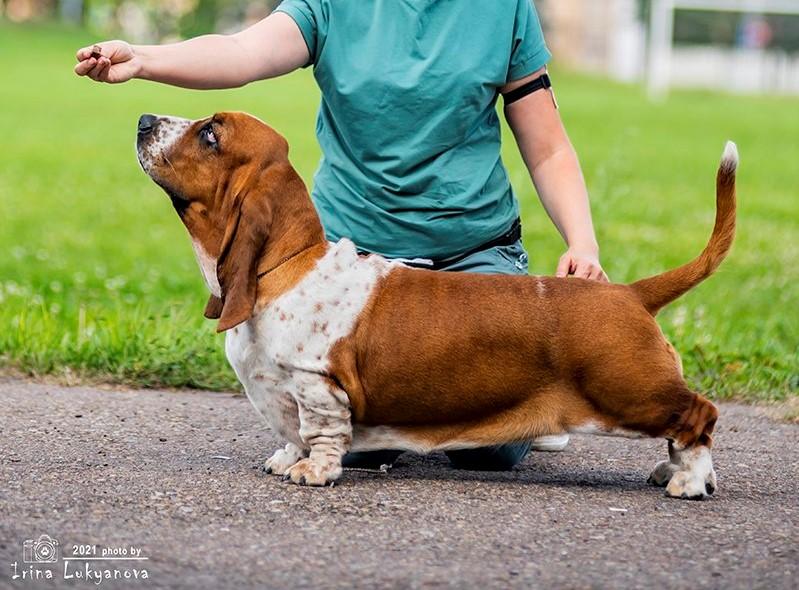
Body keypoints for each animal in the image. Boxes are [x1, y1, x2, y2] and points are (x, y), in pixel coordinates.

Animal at [136, 112, 736, 500]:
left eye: (210, 134)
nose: (142, 118)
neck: (286, 268)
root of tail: (629, 292)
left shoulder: (319, 386)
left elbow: (322, 434)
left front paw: (313, 472)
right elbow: (289, 433)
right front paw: (287, 460)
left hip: (628, 391)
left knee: (700, 415)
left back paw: (688, 482)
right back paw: (674, 472)